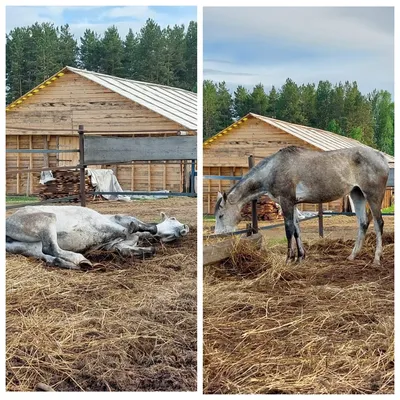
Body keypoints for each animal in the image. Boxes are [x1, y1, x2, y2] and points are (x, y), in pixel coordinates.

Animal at [5, 206, 188, 268]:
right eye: (173, 219)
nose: (184, 229)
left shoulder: (115, 244)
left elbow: (126, 248)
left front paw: (147, 248)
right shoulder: (112, 223)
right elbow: (135, 227)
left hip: (31, 248)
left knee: (50, 256)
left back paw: (79, 263)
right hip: (48, 219)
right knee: (50, 248)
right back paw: (81, 260)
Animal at [214, 146, 390, 266]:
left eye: (221, 215)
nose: (219, 235)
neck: (273, 170)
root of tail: (381, 157)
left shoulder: (286, 202)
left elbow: (288, 230)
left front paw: (288, 259)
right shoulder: (293, 204)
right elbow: (296, 230)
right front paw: (300, 257)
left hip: (373, 196)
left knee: (378, 223)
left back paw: (376, 258)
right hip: (356, 194)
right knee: (363, 223)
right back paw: (352, 256)